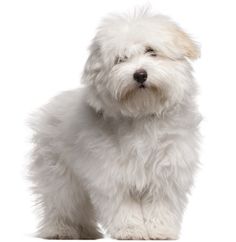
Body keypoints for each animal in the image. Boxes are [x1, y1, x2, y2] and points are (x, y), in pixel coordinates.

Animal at [29, 9, 201, 240]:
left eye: (151, 51)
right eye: (121, 59)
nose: (140, 74)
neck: (142, 114)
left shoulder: (167, 170)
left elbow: (160, 204)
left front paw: (160, 230)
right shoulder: (110, 173)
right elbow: (123, 205)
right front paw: (131, 230)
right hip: (58, 173)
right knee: (61, 203)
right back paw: (61, 230)